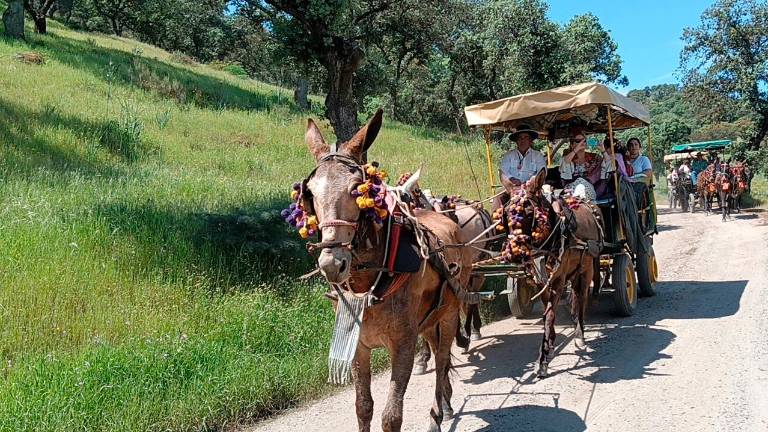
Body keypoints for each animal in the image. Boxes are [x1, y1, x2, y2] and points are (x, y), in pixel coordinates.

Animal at [300, 110, 475, 432]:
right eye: (310, 193)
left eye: (356, 190)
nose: (332, 263)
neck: (371, 284)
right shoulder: (358, 347)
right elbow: (363, 407)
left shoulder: (403, 345)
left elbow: (391, 416)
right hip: (429, 320)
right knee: (438, 356)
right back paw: (445, 402)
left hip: (447, 315)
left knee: (442, 360)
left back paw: (438, 412)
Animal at [500, 169, 603, 378]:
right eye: (506, 213)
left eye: (529, 212)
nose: (514, 253)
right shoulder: (542, 280)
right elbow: (547, 312)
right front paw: (550, 345)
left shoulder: (558, 280)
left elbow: (549, 316)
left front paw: (543, 359)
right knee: (575, 298)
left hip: (586, 269)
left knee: (581, 298)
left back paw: (580, 334)